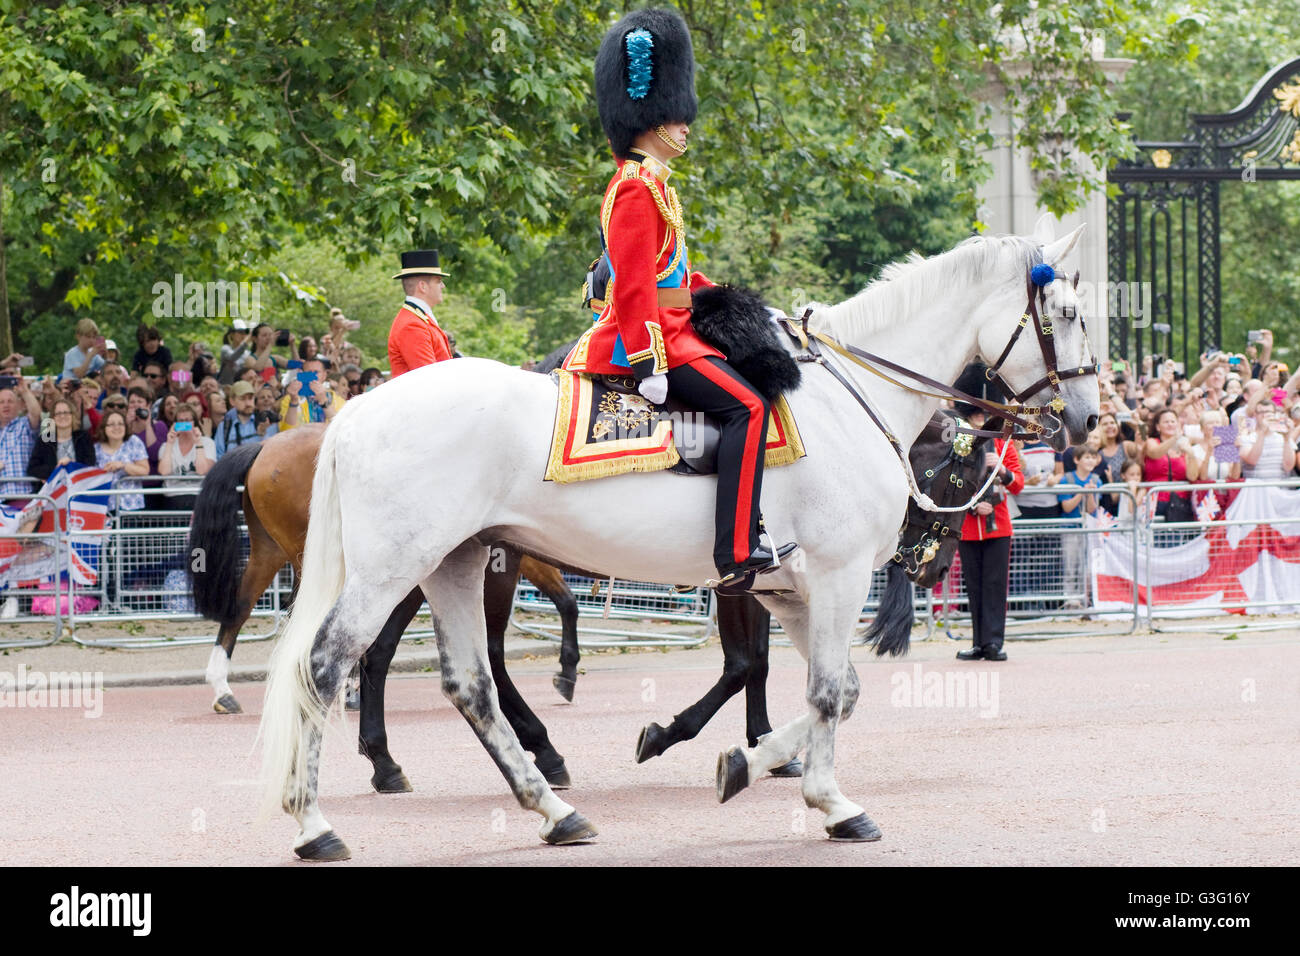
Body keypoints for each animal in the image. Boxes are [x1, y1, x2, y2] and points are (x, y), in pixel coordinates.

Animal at [187, 425, 582, 791]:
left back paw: (227, 690)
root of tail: (267, 444)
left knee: (243, 609)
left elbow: (565, 602)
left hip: (275, 552)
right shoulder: (507, 556)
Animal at [260, 220, 1096, 859]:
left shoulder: (788, 588)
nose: (1088, 419)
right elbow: (821, 690)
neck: (849, 403)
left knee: (470, 683)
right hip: (397, 569)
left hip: (458, 564)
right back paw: (316, 823)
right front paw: (827, 798)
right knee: (329, 663)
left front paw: (749, 764)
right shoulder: (835, 575)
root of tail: (358, 411)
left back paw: (553, 809)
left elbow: (832, 690)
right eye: (1070, 312)